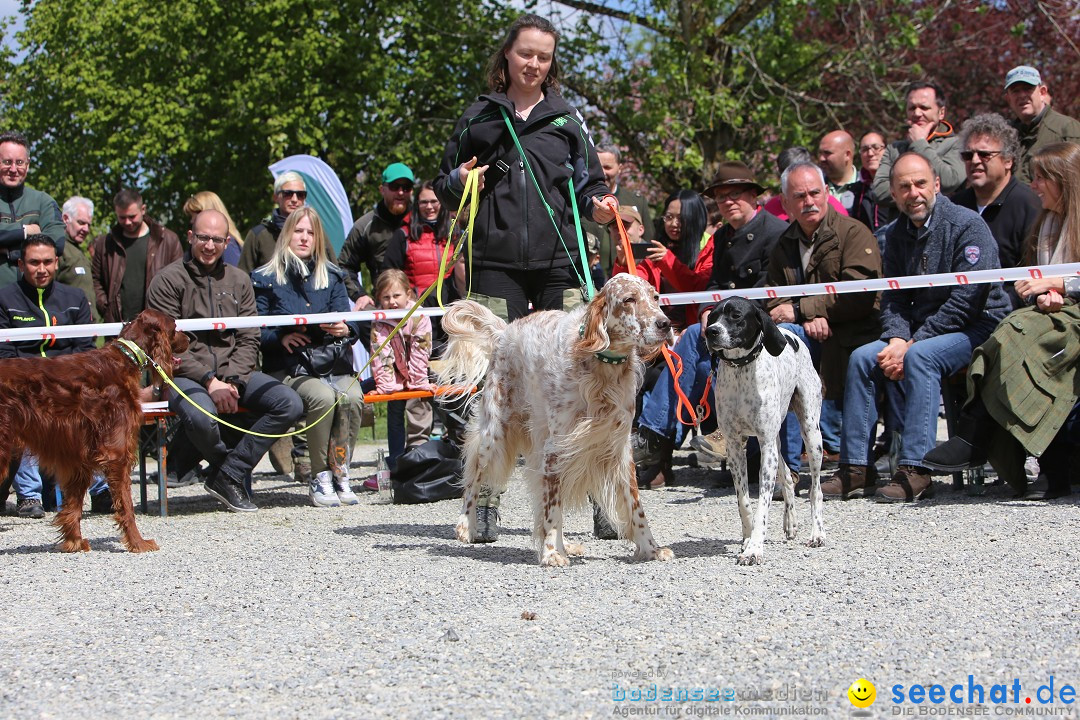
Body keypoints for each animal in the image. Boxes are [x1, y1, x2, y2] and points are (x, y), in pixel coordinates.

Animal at [0, 308, 187, 552]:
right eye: (174, 327)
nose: (190, 339)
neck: (124, 360)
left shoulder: (78, 457)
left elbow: (73, 506)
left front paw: (74, 542)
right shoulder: (116, 455)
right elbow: (126, 506)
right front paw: (138, 542)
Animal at [699, 295, 825, 565]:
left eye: (736, 315)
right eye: (712, 316)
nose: (711, 331)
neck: (741, 371)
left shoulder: (765, 446)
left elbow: (762, 506)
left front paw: (754, 549)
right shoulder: (736, 446)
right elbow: (744, 502)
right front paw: (747, 539)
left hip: (811, 434)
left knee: (816, 490)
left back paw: (817, 533)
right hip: (775, 441)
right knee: (787, 476)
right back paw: (790, 523)